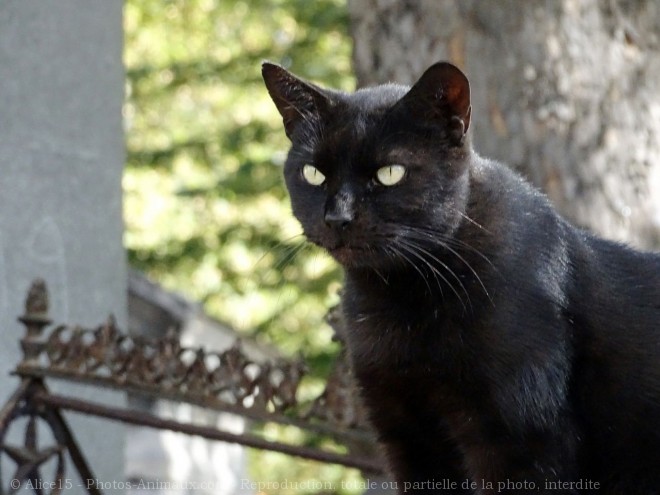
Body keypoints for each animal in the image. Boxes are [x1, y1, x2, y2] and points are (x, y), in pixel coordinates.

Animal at [260, 60, 660, 494]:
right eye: (313, 173)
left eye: (389, 173)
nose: (338, 217)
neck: (401, 301)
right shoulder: (408, 435)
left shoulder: (522, 442)